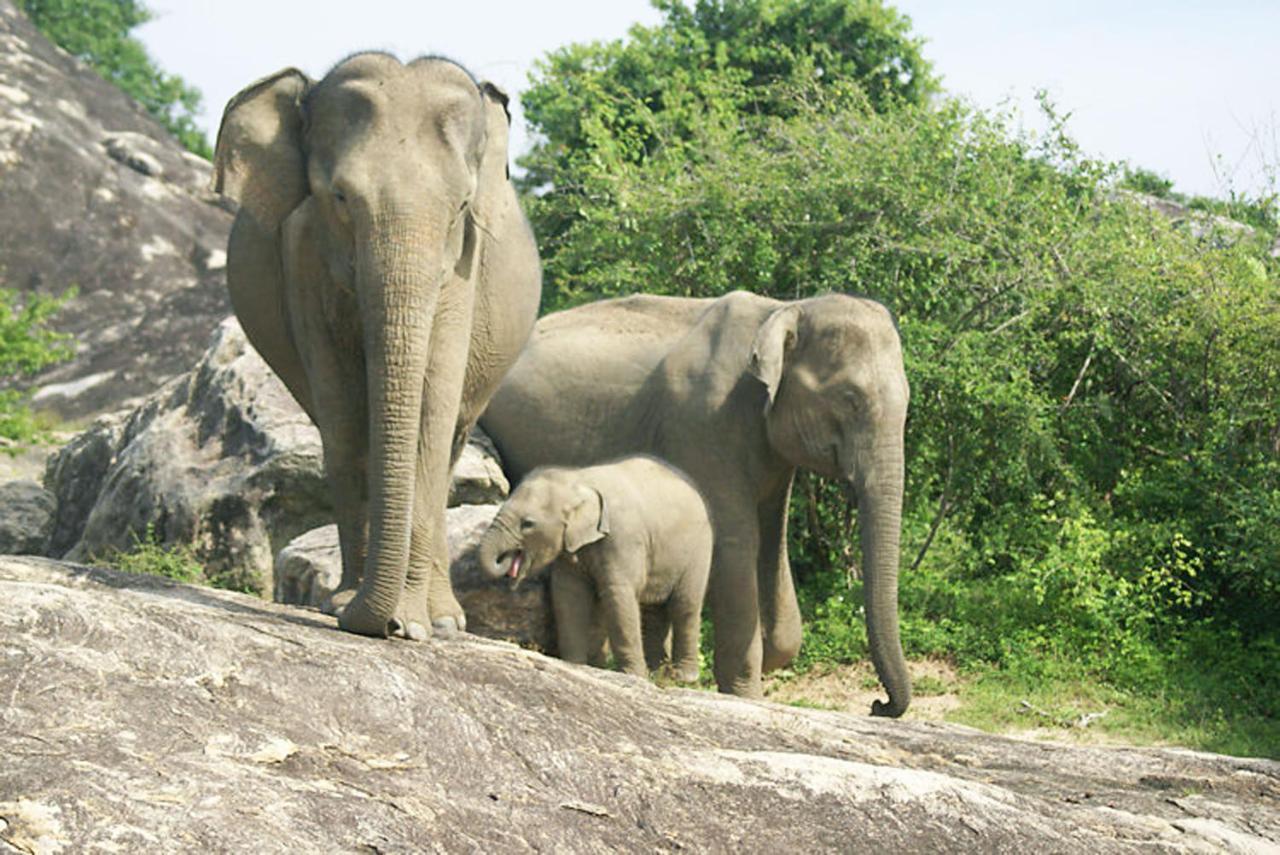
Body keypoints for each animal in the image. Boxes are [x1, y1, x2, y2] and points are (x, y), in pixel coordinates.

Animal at [213, 53, 540, 637]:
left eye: (461, 205)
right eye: (341, 198)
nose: (381, 624)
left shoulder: (463, 269)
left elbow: (432, 414)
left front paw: (411, 625)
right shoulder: (302, 252)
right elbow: (343, 413)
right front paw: (352, 610)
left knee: (452, 440)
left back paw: (446, 620)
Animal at [478, 453, 716, 680]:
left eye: (527, 524)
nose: (507, 565)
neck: (578, 479)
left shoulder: (623, 538)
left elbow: (617, 595)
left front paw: (632, 676)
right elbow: (568, 595)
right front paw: (576, 666)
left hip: (699, 550)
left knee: (684, 604)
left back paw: (683, 677)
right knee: (654, 611)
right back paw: (658, 674)